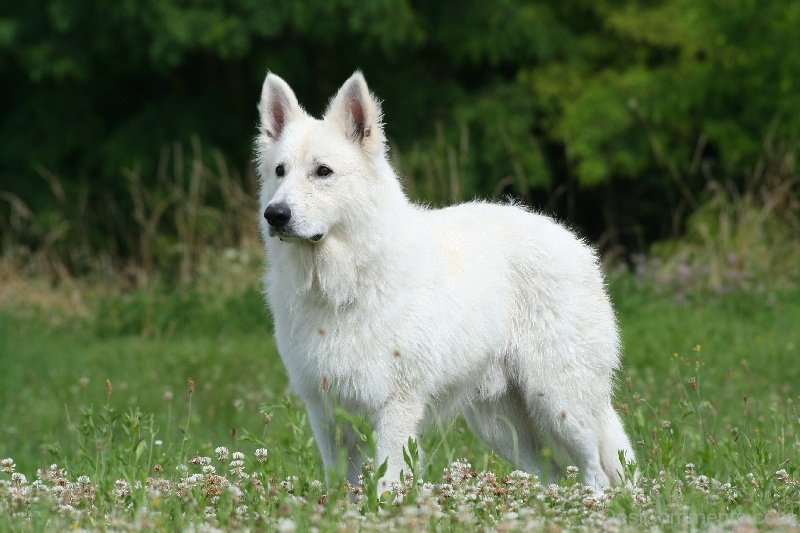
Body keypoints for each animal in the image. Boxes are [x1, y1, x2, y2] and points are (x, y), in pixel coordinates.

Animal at [256, 70, 632, 490]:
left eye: (323, 171)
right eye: (280, 172)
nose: (275, 215)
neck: (344, 283)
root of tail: (576, 244)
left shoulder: (395, 408)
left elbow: (386, 486)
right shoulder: (328, 416)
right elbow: (343, 490)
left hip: (560, 401)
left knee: (596, 470)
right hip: (500, 426)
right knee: (549, 475)